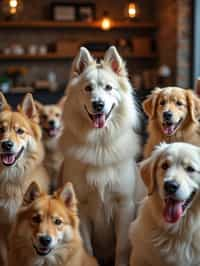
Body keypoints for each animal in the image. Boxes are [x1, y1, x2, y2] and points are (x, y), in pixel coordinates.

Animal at [59, 46, 144, 266]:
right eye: (88, 88)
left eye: (108, 88)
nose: (98, 104)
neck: (99, 146)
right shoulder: (80, 207)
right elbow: (87, 248)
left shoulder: (124, 206)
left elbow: (122, 247)